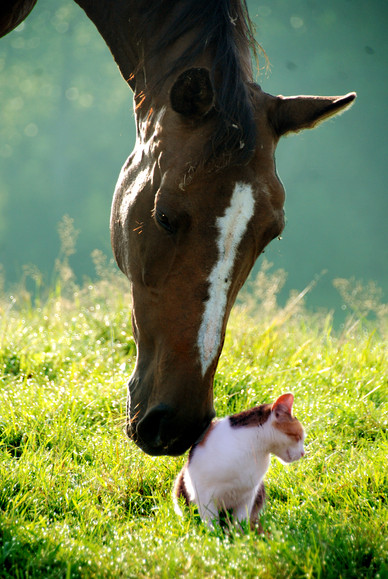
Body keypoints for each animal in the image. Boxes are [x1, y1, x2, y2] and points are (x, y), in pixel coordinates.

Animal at [174, 394, 304, 532]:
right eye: (298, 437)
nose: (303, 453)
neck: (254, 448)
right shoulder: (204, 493)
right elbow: (211, 522)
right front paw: (215, 535)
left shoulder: (249, 495)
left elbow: (240, 521)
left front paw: (240, 535)